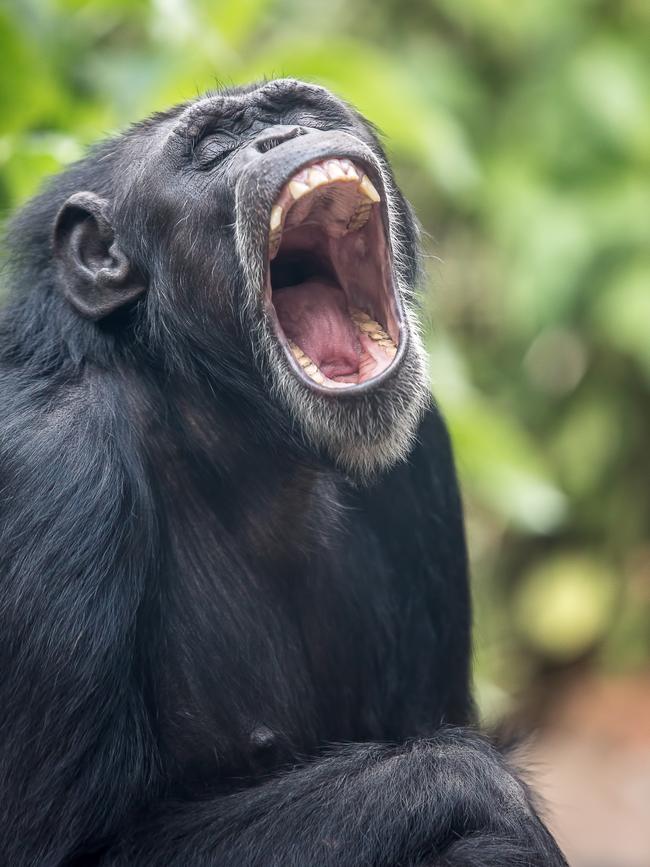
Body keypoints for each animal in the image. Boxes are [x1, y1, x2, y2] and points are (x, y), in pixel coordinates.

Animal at [0, 78, 560, 864]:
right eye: (211, 149)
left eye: (304, 109)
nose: (283, 136)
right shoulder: (51, 474)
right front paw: (484, 790)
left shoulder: (424, 454)